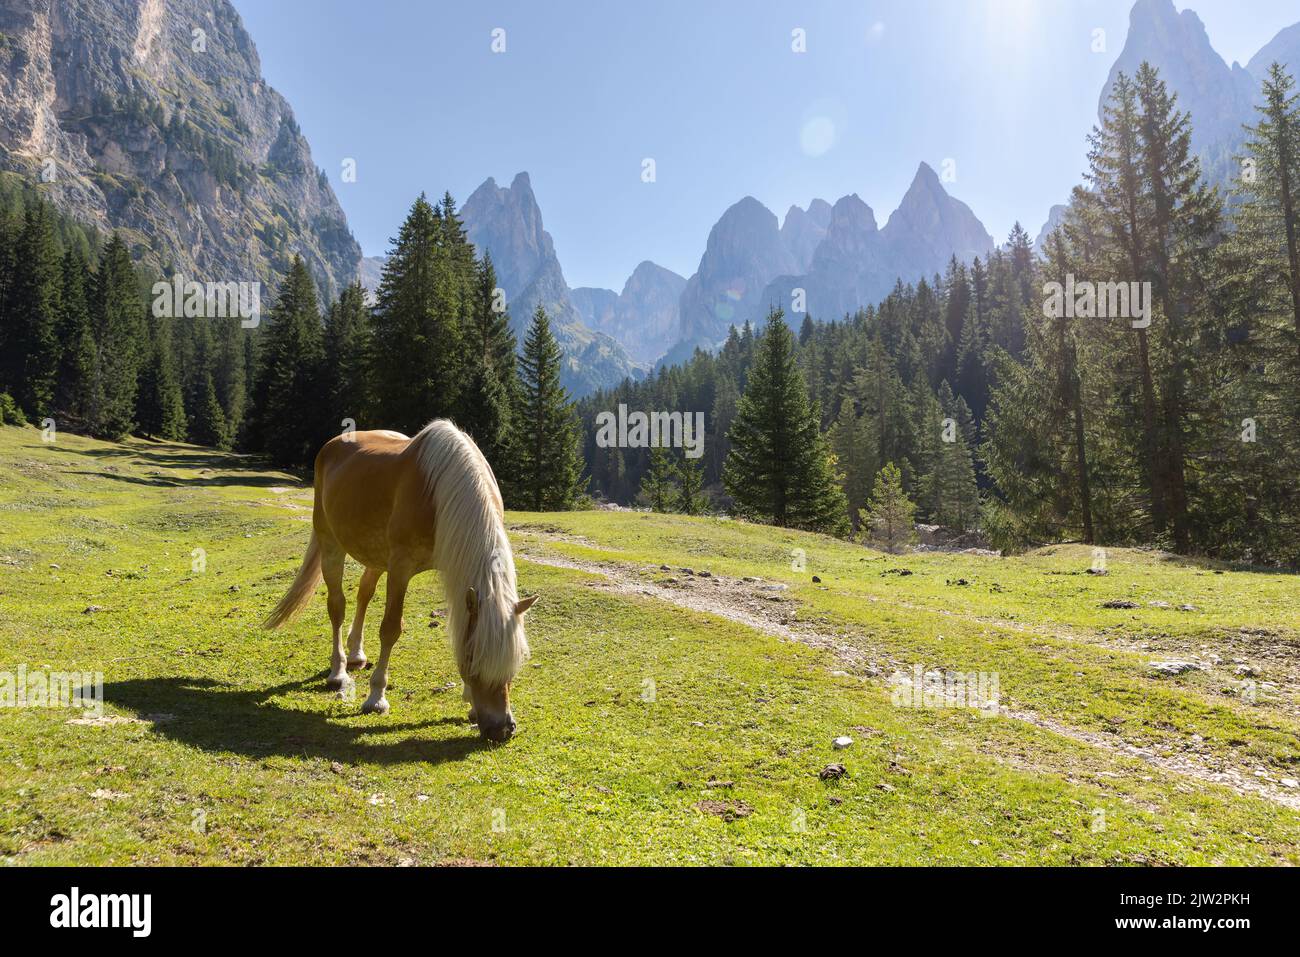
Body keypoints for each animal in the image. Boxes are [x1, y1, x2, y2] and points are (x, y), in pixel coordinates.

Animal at [261, 416, 535, 738]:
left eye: (514, 663)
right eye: (472, 661)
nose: (502, 729)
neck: (440, 492)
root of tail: (332, 445)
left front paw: (469, 701)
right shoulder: (401, 568)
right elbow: (390, 629)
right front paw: (376, 698)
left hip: (376, 557)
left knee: (364, 593)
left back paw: (356, 654)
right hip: (331, 545)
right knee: (337, 606)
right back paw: (338, 671)